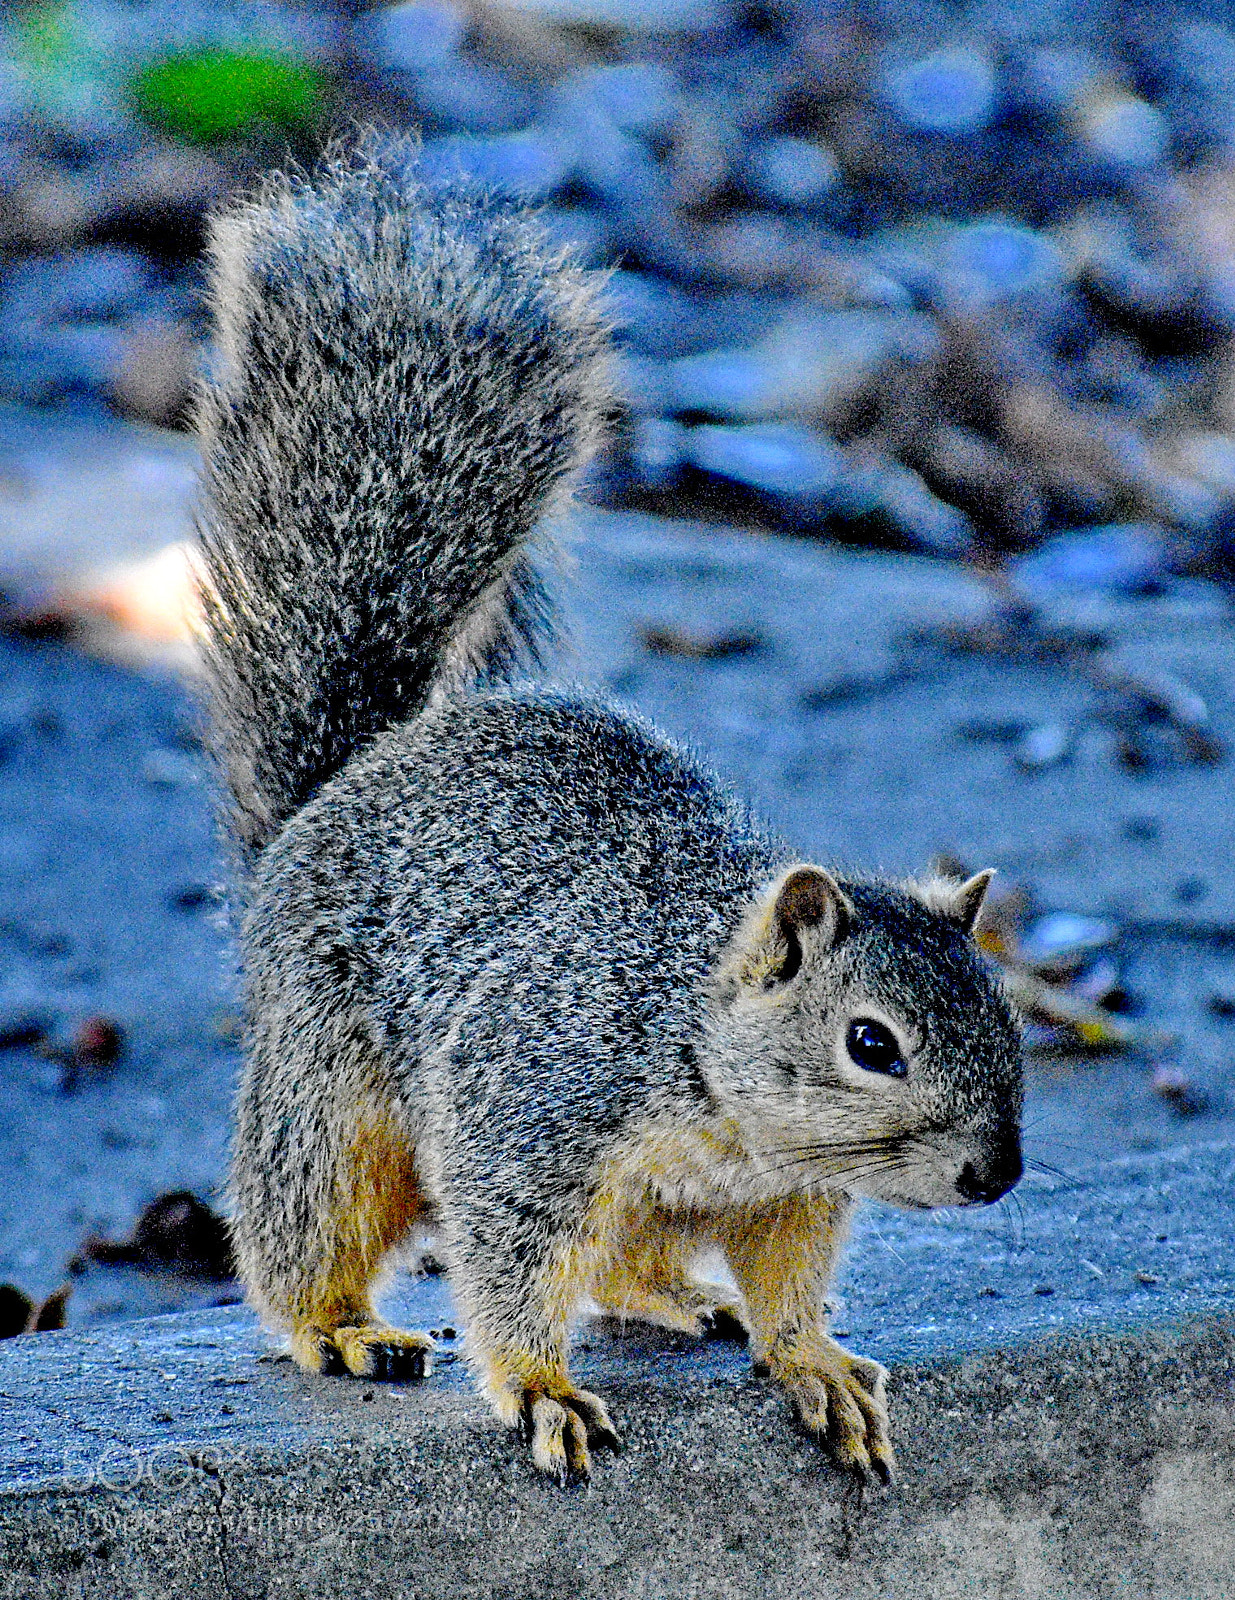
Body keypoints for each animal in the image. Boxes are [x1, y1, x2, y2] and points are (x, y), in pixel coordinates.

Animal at [196, 135, 1024, 1489]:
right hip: (327, 1082)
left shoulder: (781, 1194)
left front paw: (811, 1358)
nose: (993, 1174)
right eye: (870, 1043)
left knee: (627, 1261)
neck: (715, 1081)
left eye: (1006, 1015)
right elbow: (506, 1265)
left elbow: (788, 1282)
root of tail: (339, 789)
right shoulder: (526, 1112)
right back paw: (341, 1325)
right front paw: (540, 1389)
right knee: (306, 1220)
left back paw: (687, 1298)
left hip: (632, 1197)